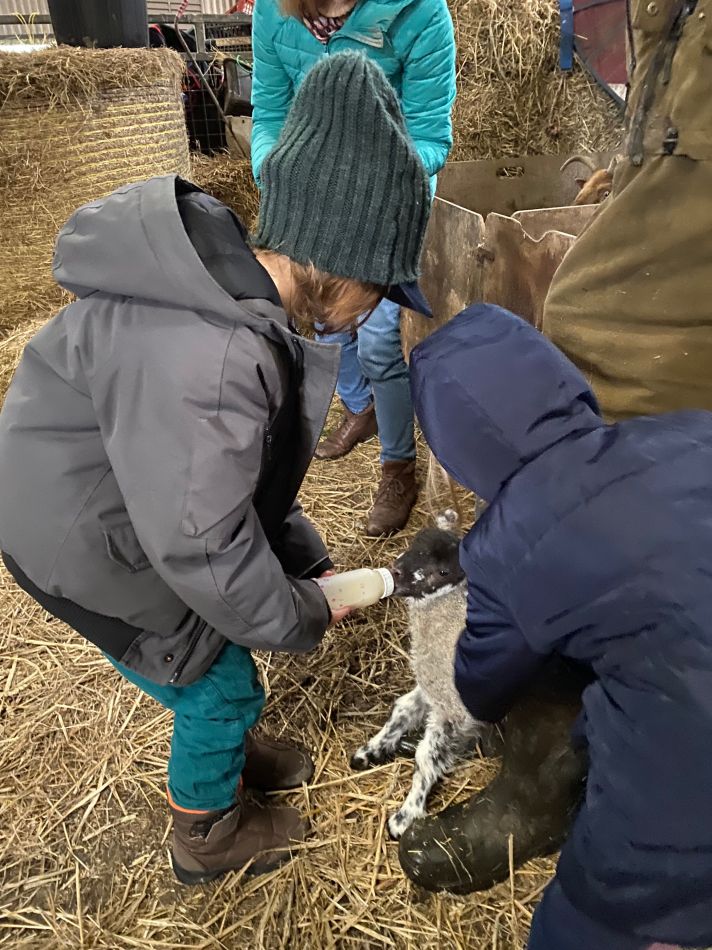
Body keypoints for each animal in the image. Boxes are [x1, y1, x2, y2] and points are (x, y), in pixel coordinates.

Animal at [352, 512, 490, 840]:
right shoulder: (433, 686)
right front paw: (371, 751)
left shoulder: (455, 709)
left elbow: (426, 758)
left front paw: (405, 816)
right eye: (415, 544)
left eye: (443, 571)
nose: (396, 573)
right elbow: (402, 710)